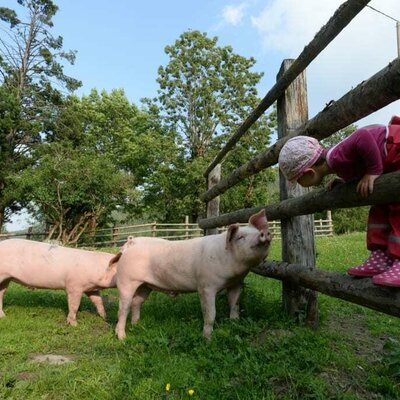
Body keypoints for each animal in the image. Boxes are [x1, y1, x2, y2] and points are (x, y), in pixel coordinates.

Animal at [114, 209, 274, 340]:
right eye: (240, 237)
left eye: (257, 231)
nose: (264, 233)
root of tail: (130, 244)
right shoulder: (206, 286)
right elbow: (210, 314)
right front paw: (207, 339)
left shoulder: (236, 283)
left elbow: (234, 305)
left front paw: (234, 324)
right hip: (126, 282)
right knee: (122, 309)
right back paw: (122, 338)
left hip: (145, 286)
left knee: (136, 302)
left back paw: (136, 326)